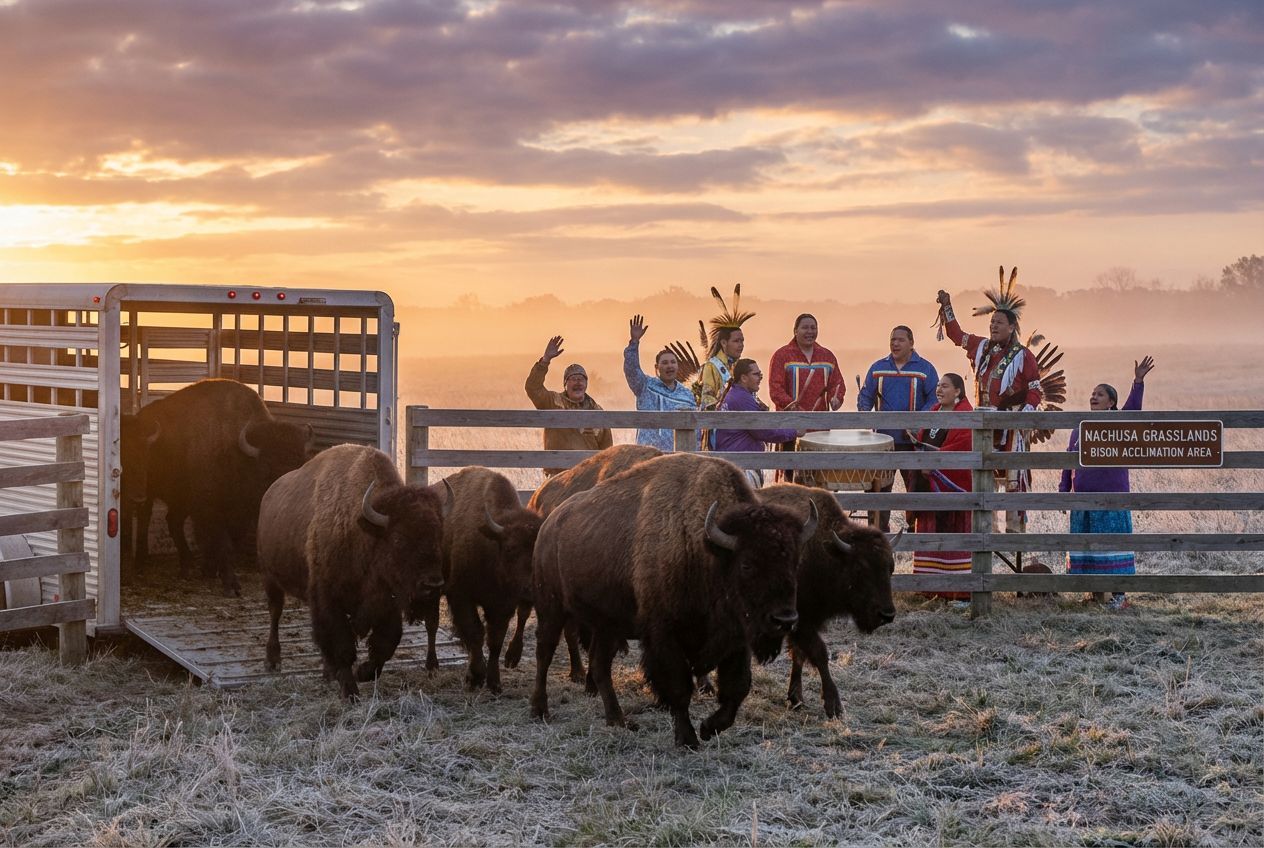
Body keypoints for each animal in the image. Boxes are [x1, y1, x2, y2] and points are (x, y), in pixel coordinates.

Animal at [127, 379, 313, 595]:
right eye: (266, 471)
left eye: (300, 466)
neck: (234, 451)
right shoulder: (210, 509)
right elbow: (224, 543)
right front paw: (231, 584)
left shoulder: (240, 513)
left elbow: (233, 541)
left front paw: (209, 570)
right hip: (147, 491)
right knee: (145, 519)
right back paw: (141, 563)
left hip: (181, 499)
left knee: (173, 521)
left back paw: (187, 565)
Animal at [257, 444, 447, 699]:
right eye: (397, 539)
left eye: (438, 535)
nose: (432, 585)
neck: (364, 533)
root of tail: (269, 493)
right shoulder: (329, 600)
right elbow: (342, 646)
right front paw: (350, 691)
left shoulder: (387, 602)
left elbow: (387, 643)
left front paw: (363, 672)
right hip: (269, 577)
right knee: (275, 613)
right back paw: (272, 660)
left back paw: (328, 672)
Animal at [422, 467, 543, 693]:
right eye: (510, 548)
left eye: (537, 550)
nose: (531, 590)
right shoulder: (461, 596)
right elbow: (475, 632)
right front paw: (476, 676)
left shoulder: (503, 606)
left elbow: (494, 640)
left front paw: (494, 682)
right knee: (432, 625)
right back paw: (432, 665)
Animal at [531, 453, 815, 748]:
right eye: (746, 564)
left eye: (795, 562)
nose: (785, 620)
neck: (706, 550)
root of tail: (549, 524)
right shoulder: (665, 636)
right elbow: (679, 688)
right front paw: (687, 739)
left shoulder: (736, 637)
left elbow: (738, 688)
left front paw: (709, 728)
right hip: (551, 608)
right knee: (545, 652)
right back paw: (539, 710)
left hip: (607, 625)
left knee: (600, 666)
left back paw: (618, 720)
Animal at [756, 484, 897, 717]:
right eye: (859, 569)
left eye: (891, 568)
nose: (886, 615)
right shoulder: (800, 621)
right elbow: (819, 653)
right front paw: (834, 706)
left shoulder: (806, 621)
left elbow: (799, 656)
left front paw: (795, 699)